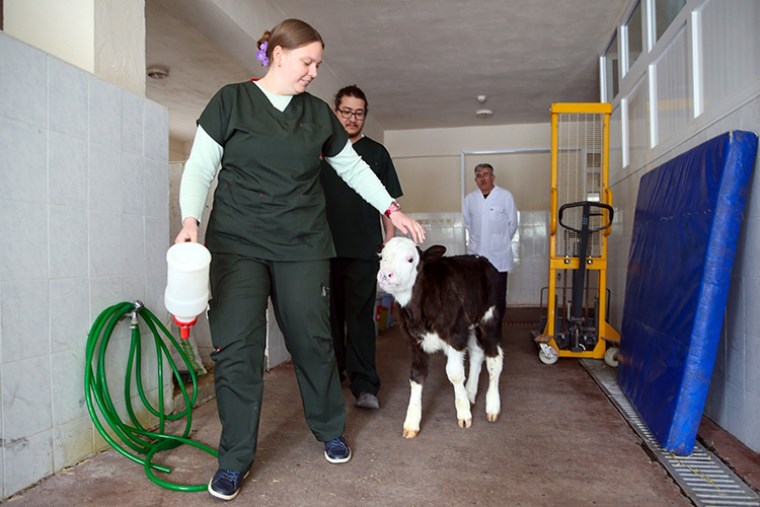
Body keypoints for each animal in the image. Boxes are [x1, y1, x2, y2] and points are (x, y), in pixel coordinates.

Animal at [376, 236, 504, 438]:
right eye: (382, 257)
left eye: (410, 259)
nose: (385, 274)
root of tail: (481, 259)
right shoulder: (415, 341)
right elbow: (416, 376)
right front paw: (412, 422)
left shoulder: (455, 335)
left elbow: (455, 374)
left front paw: (463, 414)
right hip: (470, 324)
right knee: (477, 354)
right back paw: (470, 393)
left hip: (490, 319)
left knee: (494, 359)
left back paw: (492, 407)